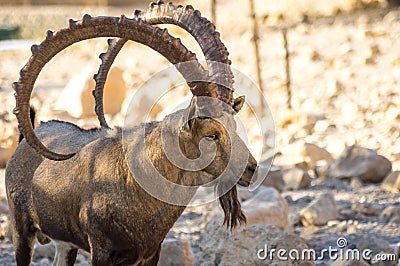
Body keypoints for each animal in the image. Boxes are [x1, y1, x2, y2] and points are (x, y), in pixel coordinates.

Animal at [6, 2, 258, 266]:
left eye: (234, 126)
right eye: (211, 135)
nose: (251, 170)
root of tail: (30, 135)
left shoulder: (151, 252)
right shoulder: (101, 251)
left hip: (65, 244)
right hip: (21, 229)